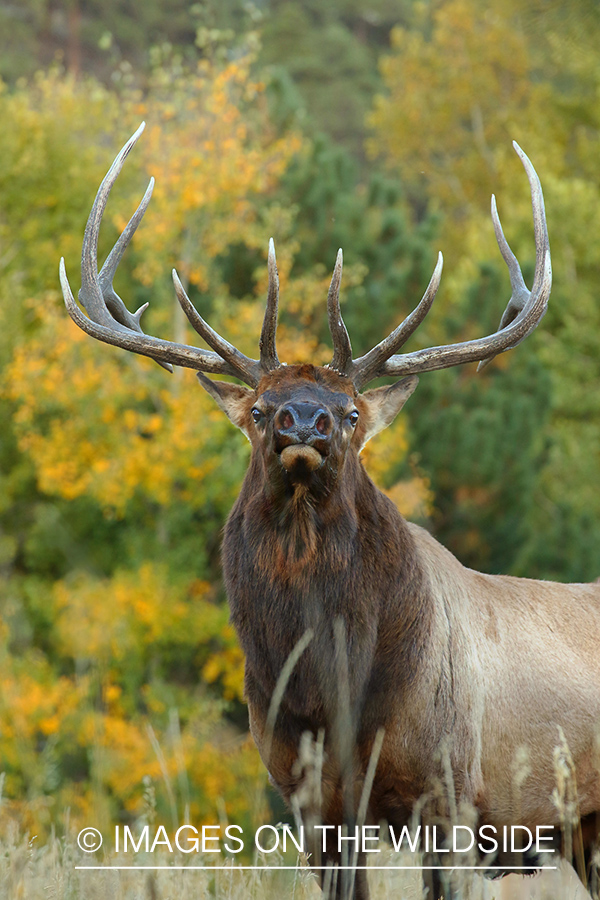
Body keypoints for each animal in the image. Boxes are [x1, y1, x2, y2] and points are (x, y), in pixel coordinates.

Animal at [59, 121, 600, 900]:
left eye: (348, 412)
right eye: (259, 409)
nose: (303, 422)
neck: (334, 696)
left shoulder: (455, 790)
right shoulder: (311, 801)